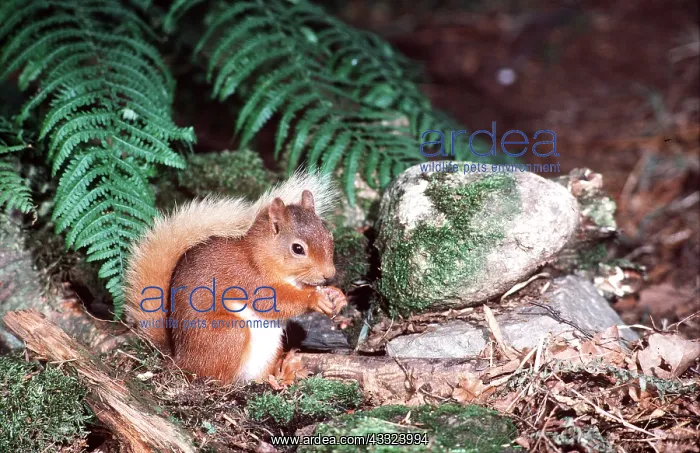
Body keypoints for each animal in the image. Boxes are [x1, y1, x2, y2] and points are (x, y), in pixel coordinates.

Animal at [124, 171, 347, 384]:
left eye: (329, 235)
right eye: (298, 248)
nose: (330, 274)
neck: (260, 256)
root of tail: (179, 359)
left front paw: (336, 295)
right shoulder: (247, 277)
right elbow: (273, 301)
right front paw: (315, 298)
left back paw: (278, 377)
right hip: (229, 333)